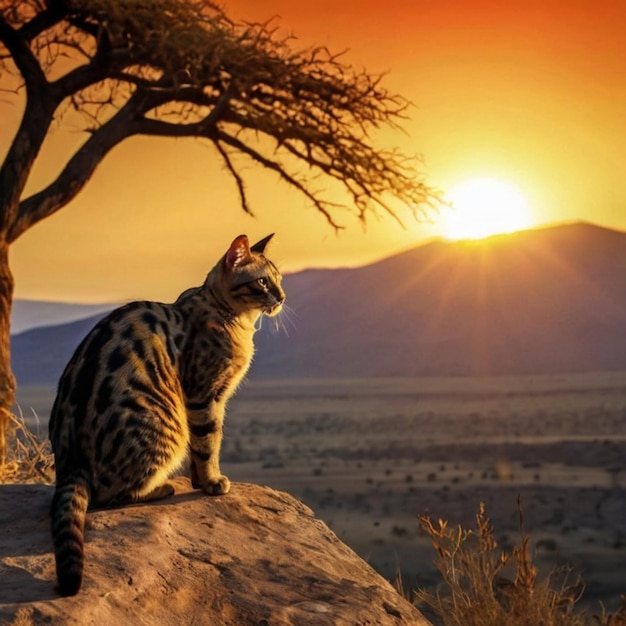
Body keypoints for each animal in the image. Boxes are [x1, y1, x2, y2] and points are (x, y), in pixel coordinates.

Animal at [48, 232, 282, 592]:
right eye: (262, 282)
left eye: (280, 279)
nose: (282, 296)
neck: (236, 319)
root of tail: (70, 460)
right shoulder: (203, 395)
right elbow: (208, 443)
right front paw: (212, 482)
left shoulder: (211, 399)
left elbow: (205, 448)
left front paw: (200, 480)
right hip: (163, 425)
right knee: (109, 494)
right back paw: (161, 488)